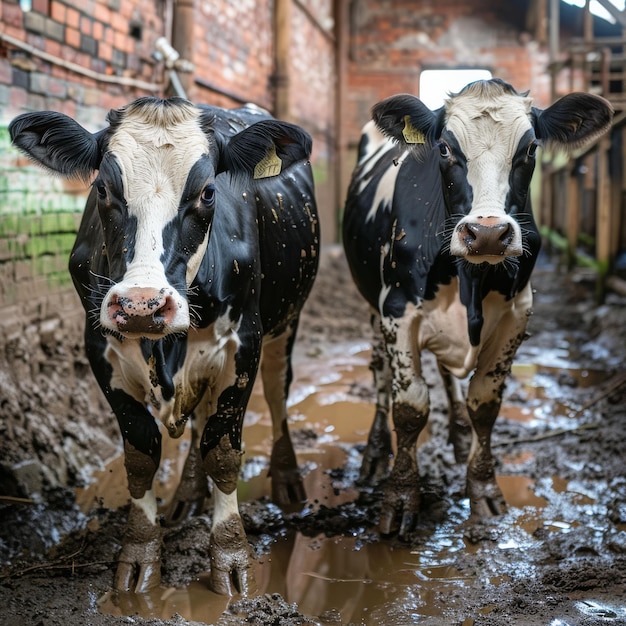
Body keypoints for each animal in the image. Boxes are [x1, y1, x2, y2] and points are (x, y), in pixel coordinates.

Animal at [9, 96, 320, 588]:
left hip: (287, 320)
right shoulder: (100, 350)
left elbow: (223, 452)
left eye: (208, 192)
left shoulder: (242, 346)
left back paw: (287, 481)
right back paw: (187, 496)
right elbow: (141, 455)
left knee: (276, 393)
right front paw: (139, 554)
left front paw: (231, 559)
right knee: (198, 419)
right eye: (102, 189)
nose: (142, 305)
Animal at [342, 78, 608, 536]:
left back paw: (458, 434)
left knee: (448, 377)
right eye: (445, 149)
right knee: (379, 376)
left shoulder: (518, 314)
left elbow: (484, 404)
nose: (486, 234)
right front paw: (401, 497)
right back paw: (375, 454)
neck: (469, 279)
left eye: (531, 149)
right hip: (371, 307)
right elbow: (409, 407)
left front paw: (483, 489)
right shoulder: (397, 309)